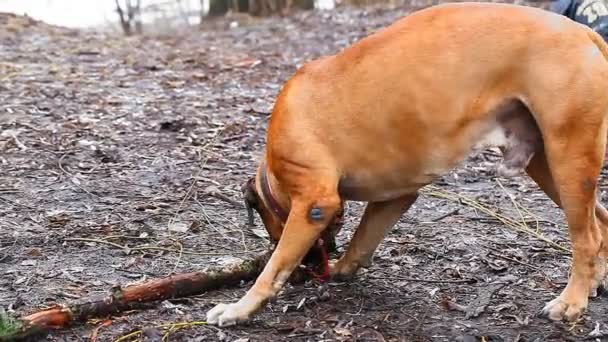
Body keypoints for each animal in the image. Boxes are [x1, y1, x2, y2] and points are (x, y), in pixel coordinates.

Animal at [208, 3, 608, 328]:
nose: (311, 269)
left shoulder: (313, 204)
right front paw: (343, 267)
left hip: (567, 158)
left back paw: (571, 302)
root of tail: (583, 32)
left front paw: (239, 308)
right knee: (600, 223)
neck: (276, 175)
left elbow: (274, 266)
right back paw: (594, 283)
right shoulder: (394, 197)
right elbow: (363, 238)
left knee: (586, 237)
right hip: (548, 167)